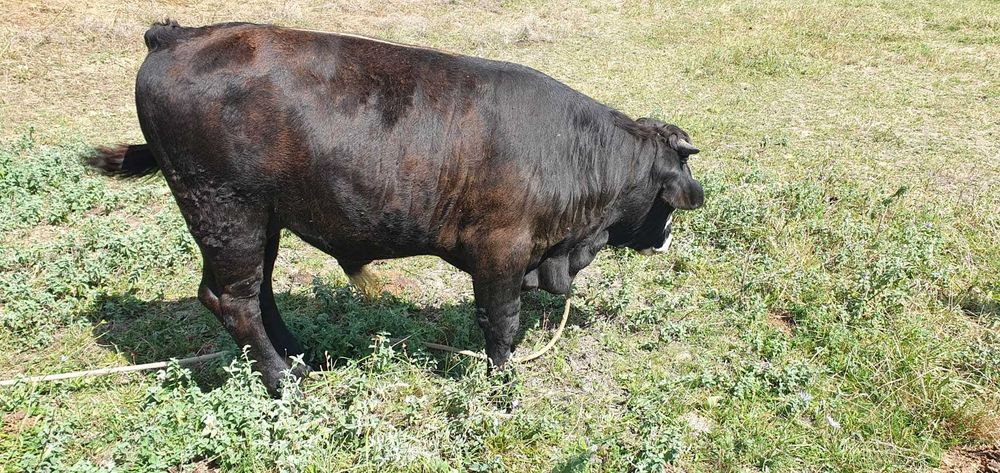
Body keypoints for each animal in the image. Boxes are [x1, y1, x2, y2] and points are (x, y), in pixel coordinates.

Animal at [88, 20, 704, 397]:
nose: (667, 237)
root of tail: (175, 36)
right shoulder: (501, 252)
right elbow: (501, 322)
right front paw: (503, 386)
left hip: (261, 220)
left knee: (255, 293)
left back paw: (301, 356)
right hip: (225, 212)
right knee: (233, 300)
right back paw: (286, 382)